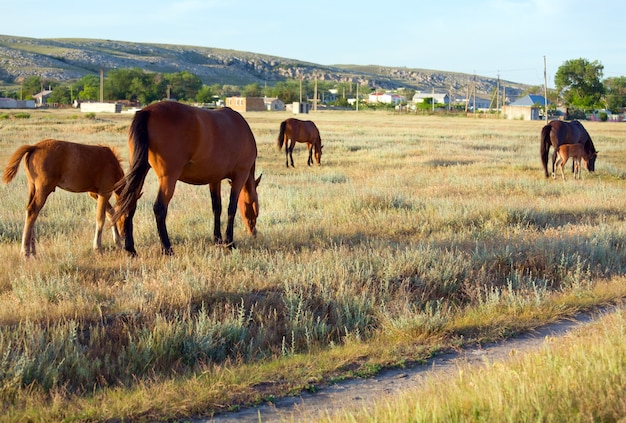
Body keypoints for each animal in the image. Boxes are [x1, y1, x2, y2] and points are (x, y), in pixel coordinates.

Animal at [111, 101, 258, 256]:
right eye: (255, 208)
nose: (253, 232)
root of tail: (147, 111)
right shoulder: (240, 176)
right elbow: (231, 208)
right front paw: (230, 243)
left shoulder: (214, 179)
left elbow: (217, 207)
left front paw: (218, 240)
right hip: (169, 177)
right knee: (159, 208)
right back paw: (167, 248)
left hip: (141, 171)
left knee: (130, 204)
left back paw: (131, 249)